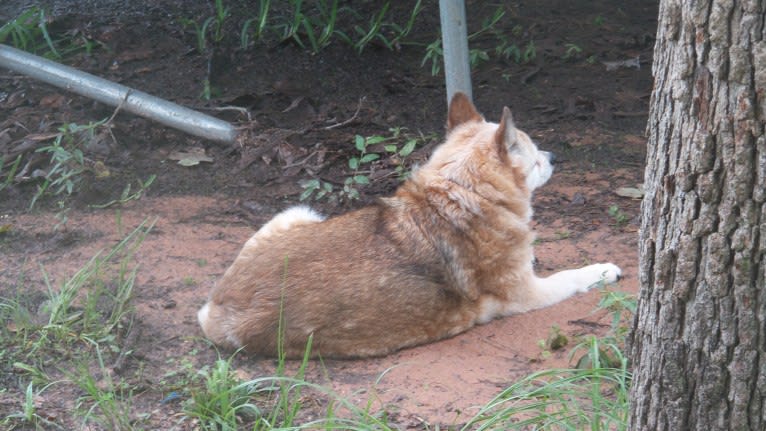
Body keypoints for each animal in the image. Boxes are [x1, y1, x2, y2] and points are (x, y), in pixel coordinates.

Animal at [200, 93, 624, 360]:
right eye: (536, 157)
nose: (554, 157)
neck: (459, 194)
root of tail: (217, 310)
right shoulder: (529, 293)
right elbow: (574, 275)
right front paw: (603, 270)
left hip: (300, 212)